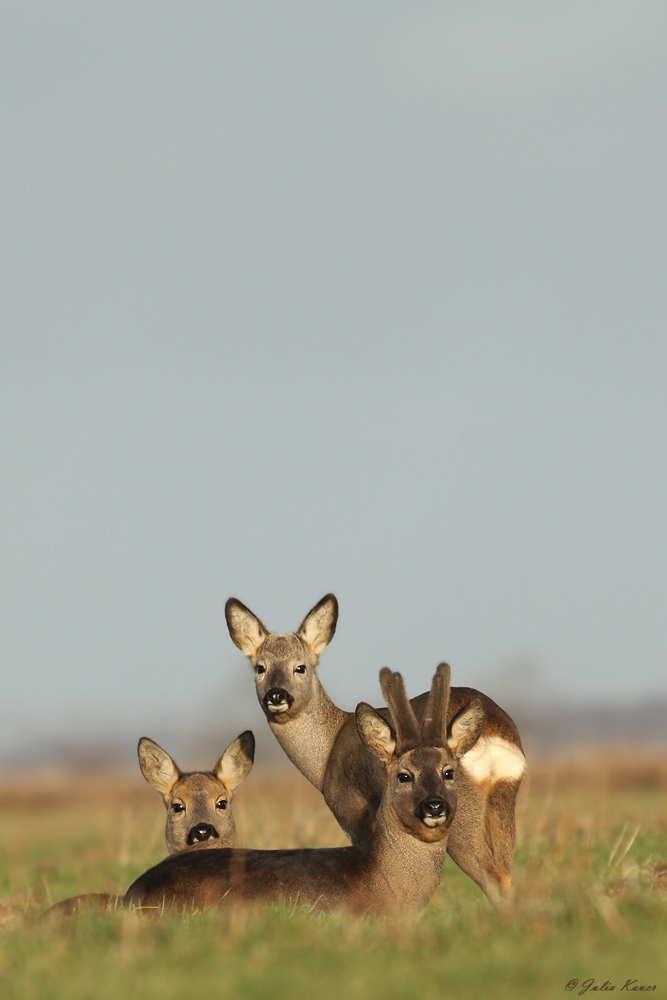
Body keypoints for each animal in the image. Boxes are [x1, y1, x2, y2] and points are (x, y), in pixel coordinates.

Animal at [224, 592, 528, 908]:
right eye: (260, 668)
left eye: (300, 667)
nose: (277, 695)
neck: (327, 752)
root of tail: (493, 731)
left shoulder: (353, 811)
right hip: (504, 801)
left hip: (461, 809)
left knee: (494, 878)